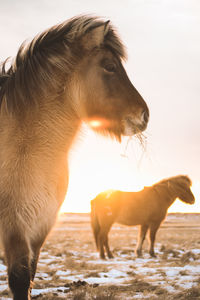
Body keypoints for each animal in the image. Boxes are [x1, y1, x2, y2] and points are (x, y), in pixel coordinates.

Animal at [0, 16, 148, 300]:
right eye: (110, 66)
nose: (144, 115)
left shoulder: (41, 225)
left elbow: (30, 275)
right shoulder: (14, 225)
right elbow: (20, 280)